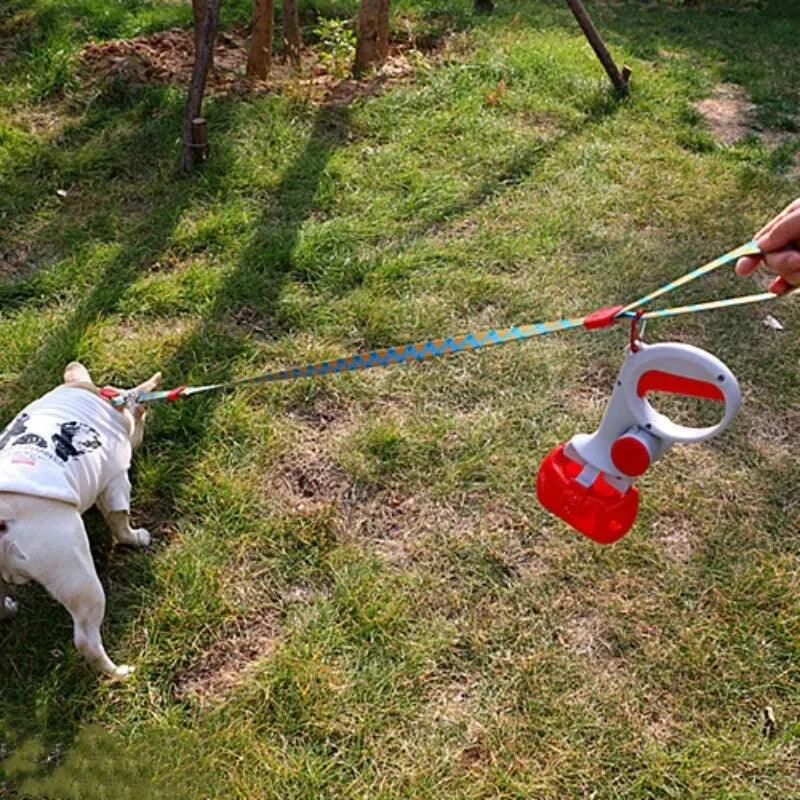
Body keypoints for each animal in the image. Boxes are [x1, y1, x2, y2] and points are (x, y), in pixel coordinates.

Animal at [0, 362, 161, 676]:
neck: (106, 397)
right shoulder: (115, 481)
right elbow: (119, 520)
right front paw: (136, 538)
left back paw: (8, 610)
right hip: (75, 573)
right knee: (86, 638)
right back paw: (118, 673)